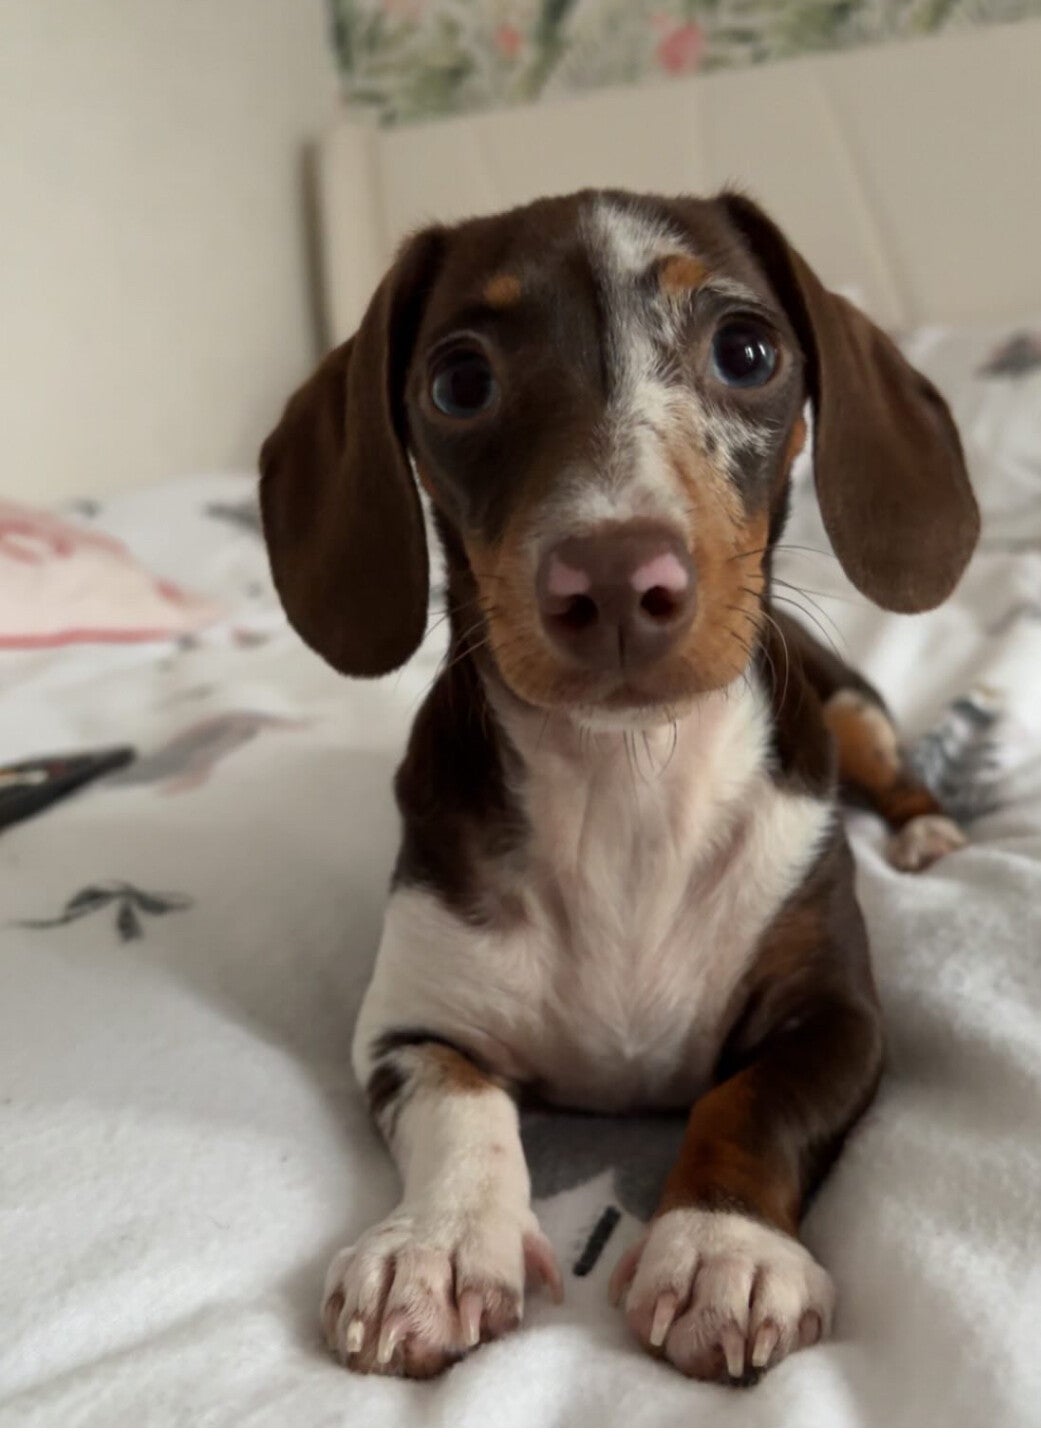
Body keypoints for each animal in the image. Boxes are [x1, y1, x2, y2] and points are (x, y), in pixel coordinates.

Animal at [260, 190, 978, 1383]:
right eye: (459, 380)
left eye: (747, 351)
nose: (611, 580)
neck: (627, 789)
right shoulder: (408, 1029)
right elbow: (463, 1107)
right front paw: (437, 1245)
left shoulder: (840, 1019)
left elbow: (751, 1101)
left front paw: (725, 1248)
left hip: (847, 704)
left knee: (889, 764)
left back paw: (930, 836)